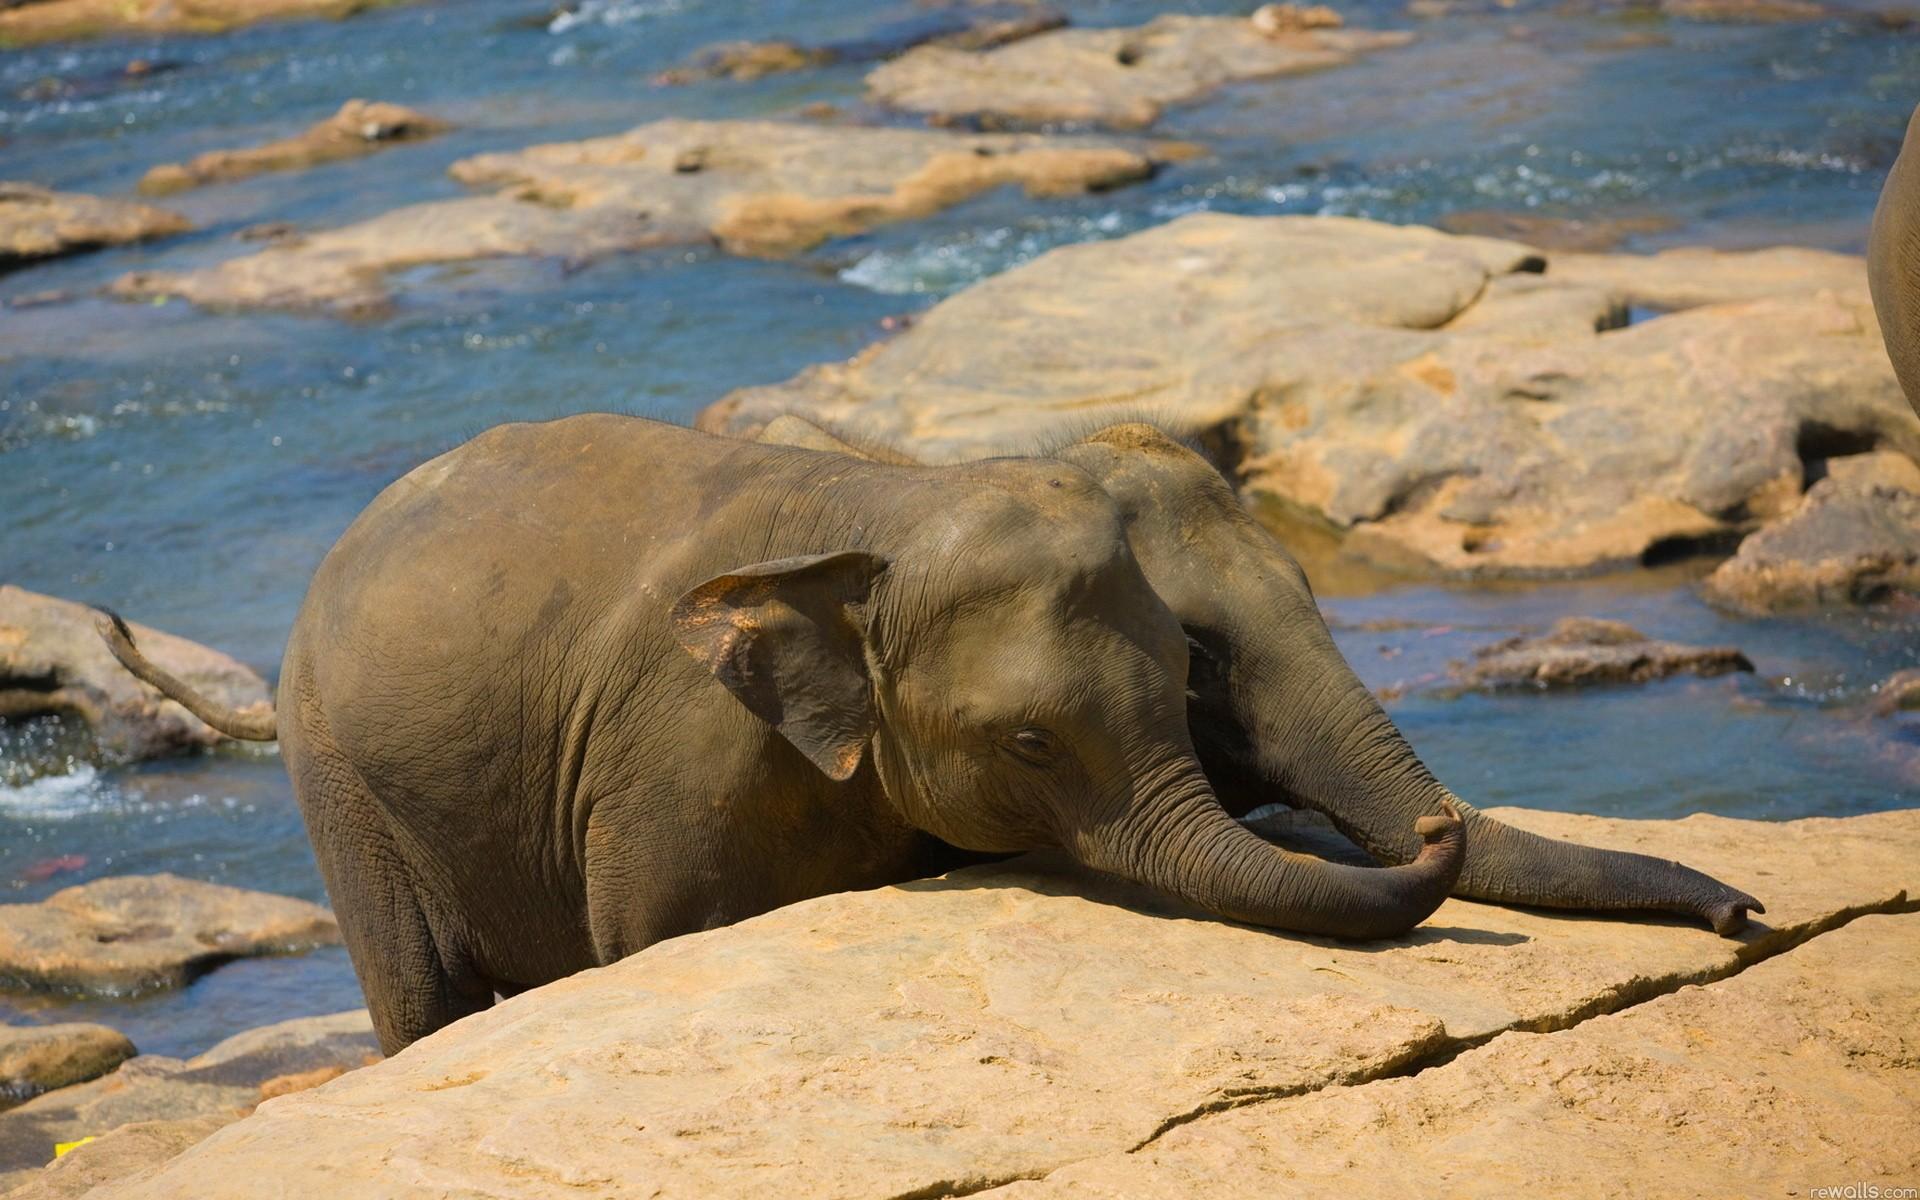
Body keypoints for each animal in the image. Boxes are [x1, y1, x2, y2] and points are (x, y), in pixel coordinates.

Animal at [101, 415, 1759, 1054]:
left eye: (1186, 679)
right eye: (1027, 745)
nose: (1746, 913)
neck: (897, 488)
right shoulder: (670, 767)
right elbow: (654, 945)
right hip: (339, 779)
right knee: (421, 993)